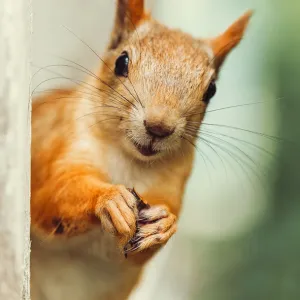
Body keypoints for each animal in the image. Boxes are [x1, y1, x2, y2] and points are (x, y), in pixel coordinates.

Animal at [30, 1, 252, 298]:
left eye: (212, 90)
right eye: (121, 62)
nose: (159, 127)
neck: (129, 161)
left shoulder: (170, 188)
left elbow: (135, 253)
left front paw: (165, 224)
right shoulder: (59, 145)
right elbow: (52, 195)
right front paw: (109, 198)